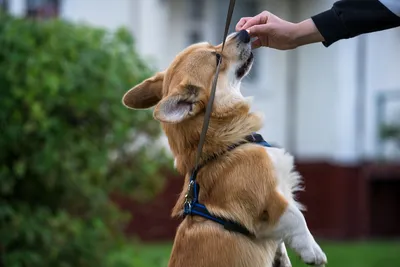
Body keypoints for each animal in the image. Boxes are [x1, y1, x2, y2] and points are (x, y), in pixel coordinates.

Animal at [122, 29, 328, 267]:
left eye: (213, 44)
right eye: (217, 58)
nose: (244, 32)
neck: (227, 145)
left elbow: (281, 241)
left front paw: (283, 259)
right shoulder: (268, 198)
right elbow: (297, 217)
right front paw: (313, 251)